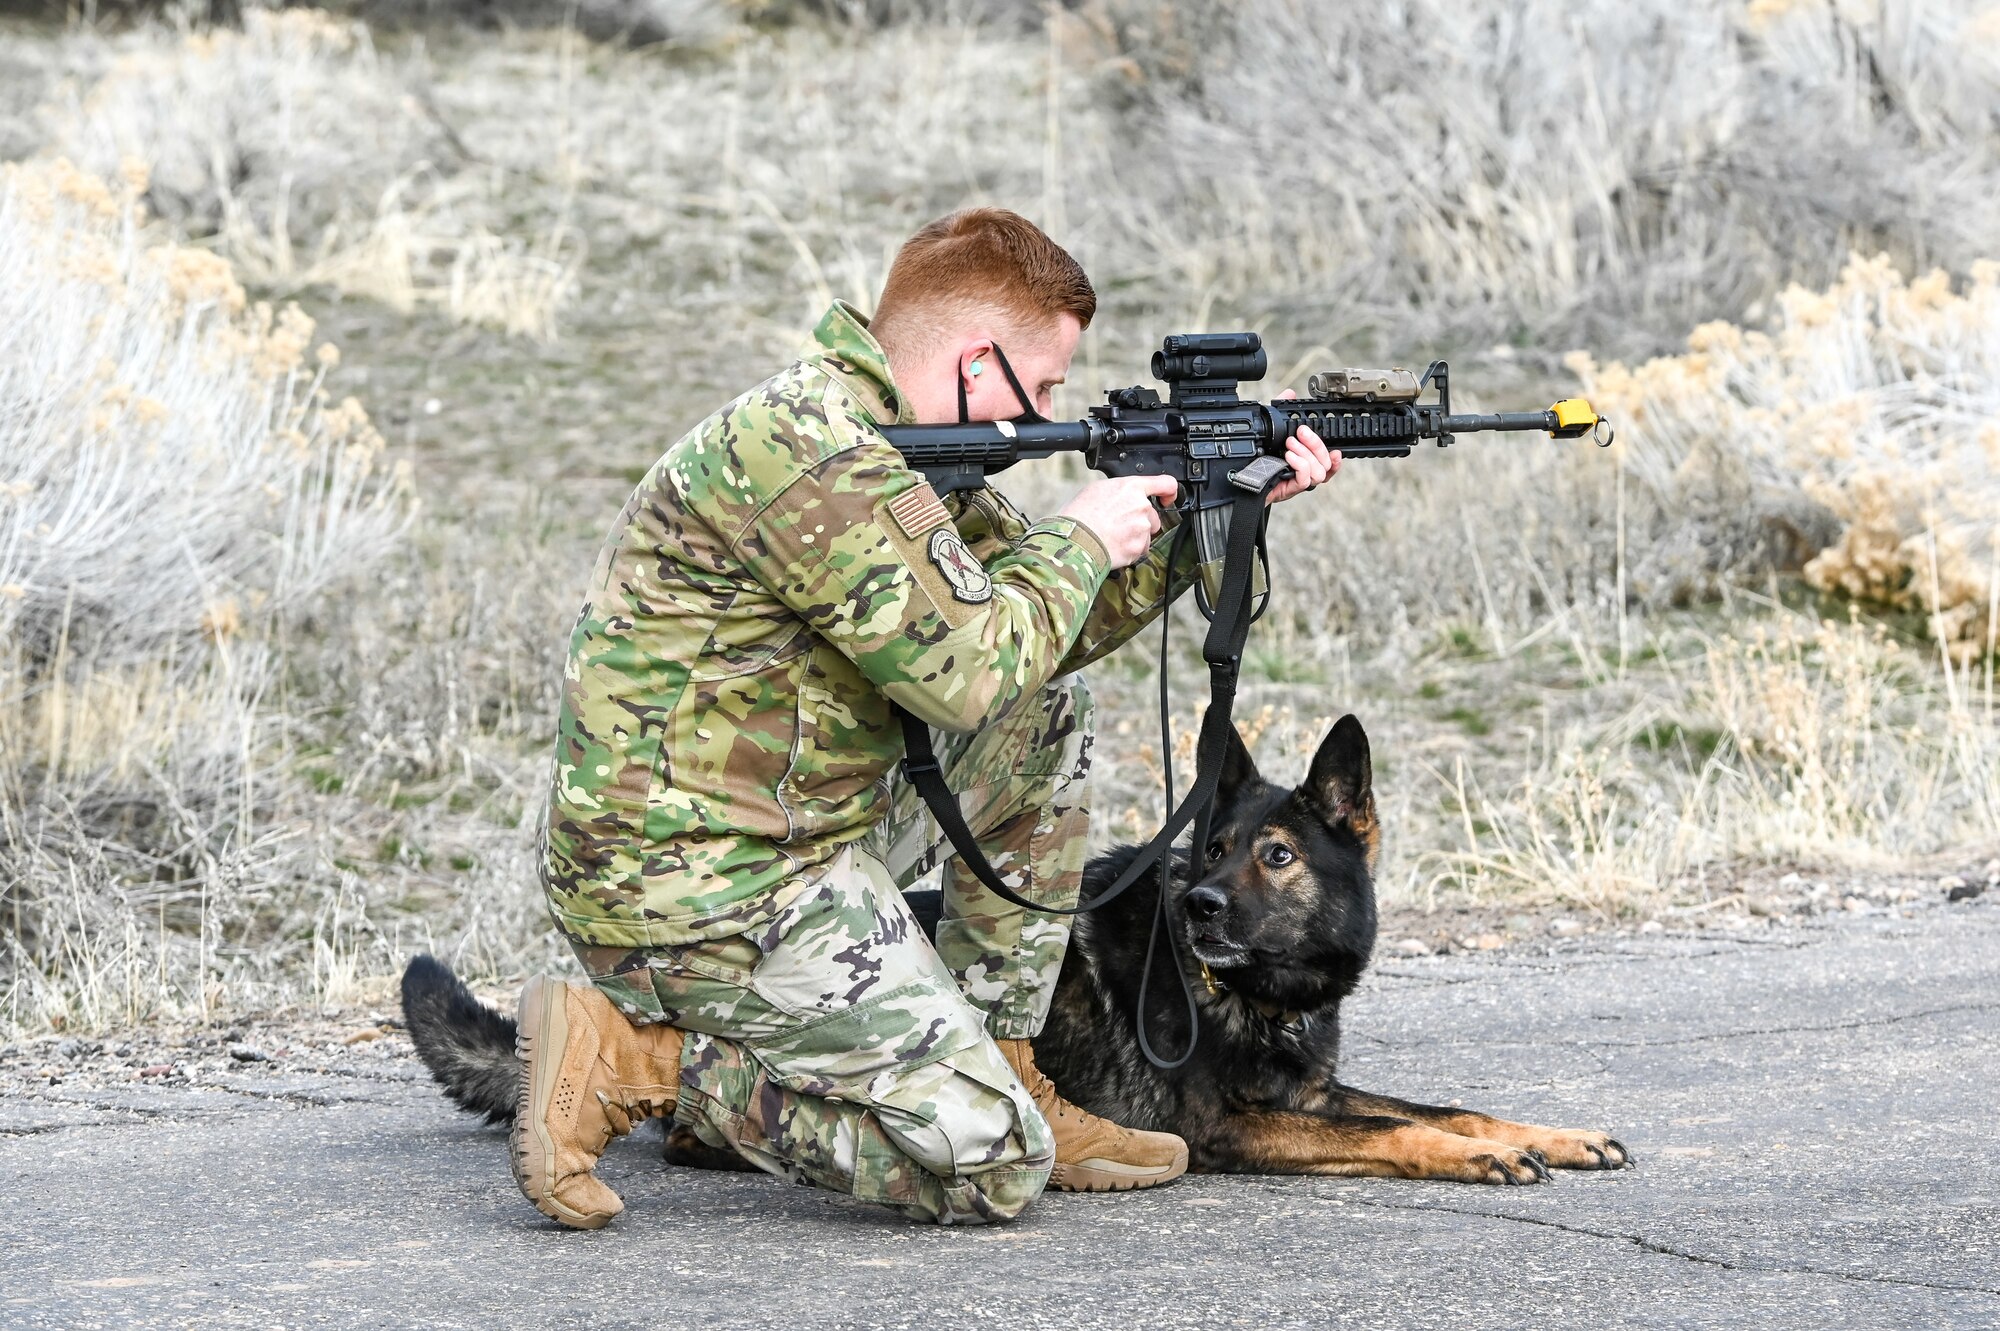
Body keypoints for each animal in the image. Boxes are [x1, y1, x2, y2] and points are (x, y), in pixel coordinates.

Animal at [402, 715, 1624, 1183]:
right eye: (1211, 849)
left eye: (1275, 854)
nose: (1199, 908)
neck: (1255, 992)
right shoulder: (1242, 1127)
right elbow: (1401, 1134)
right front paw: (1469, 1158)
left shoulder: (1311, 1095)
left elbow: (1449, 1106)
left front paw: (1546, 1135)